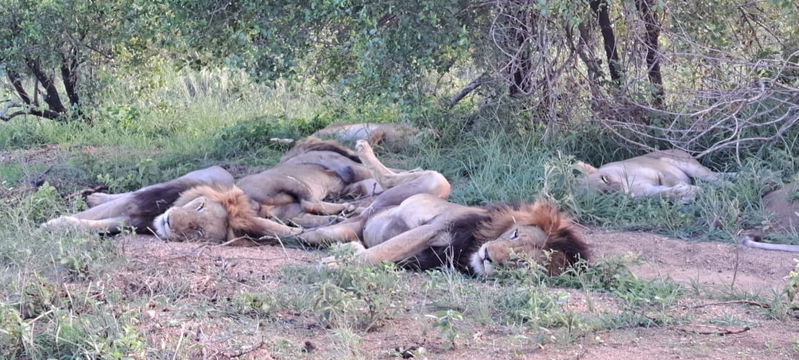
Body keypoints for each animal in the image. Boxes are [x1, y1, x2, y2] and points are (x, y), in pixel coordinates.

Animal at [290, 139, 592, 274]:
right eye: (514, 234)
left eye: (521, 262)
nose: (488, 256)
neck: (469, 249)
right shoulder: (435, 227)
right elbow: (381, 251)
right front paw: (334, 264)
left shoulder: (420, 260)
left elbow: (378, 254)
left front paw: (344, 256)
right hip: (436, 183)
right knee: (395, 179)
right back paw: (363, 149)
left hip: (343, 229)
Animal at [576, 149, 732, 204]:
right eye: (602, 194)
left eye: (605, 178)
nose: (619, 190)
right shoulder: (649, 192)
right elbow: (664, 194)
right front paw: (684, 194)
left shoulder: (660, 172)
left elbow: (672, 180)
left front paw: (688, 190)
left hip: (690, 166)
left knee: (718, 179)